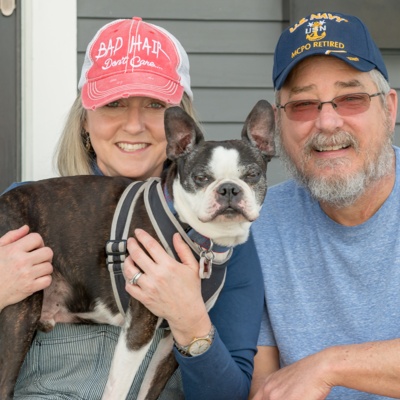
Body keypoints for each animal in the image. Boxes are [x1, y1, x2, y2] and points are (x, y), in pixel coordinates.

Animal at [0, 100, 276, 400]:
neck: (199, 237)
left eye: (253, 175)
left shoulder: (176, 336)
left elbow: (149, 389)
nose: (228, 189)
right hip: (21, 313)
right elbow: (117, 389)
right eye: (201, 177)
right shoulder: (139, 327)